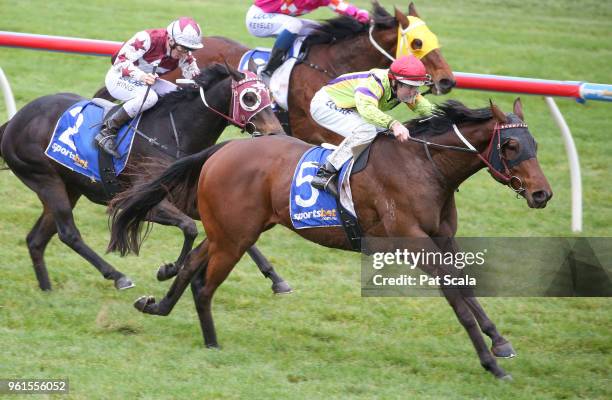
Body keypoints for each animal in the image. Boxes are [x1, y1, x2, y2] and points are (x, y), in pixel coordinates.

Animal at [0, 63, 290, 294]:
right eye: (250, 97)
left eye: (270, 95)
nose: (275, 133)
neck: (173, 134)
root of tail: (14, 121)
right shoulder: (141, 200)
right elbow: (189, 228)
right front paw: (169, 269)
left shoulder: (191, 200)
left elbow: (231, 235)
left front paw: (277, 279)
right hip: (46, 180)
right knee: (69, 233)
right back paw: (118, 277)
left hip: (69, 187)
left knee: (37, 238)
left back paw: (46, 288)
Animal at [107, 98, 552, 380]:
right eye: (511, 145)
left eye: (535, 144)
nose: (542, 194)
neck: (426, 166)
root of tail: (223, 148)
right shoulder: (413, 242)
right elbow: (456, 301)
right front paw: (492, 364)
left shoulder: (443, 239)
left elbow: (466, 287)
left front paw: (500, 342)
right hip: (233, 236)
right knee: (204, 283)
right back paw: (212, 344)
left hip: (231, 231)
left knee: (193, 265)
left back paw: (158, 305)